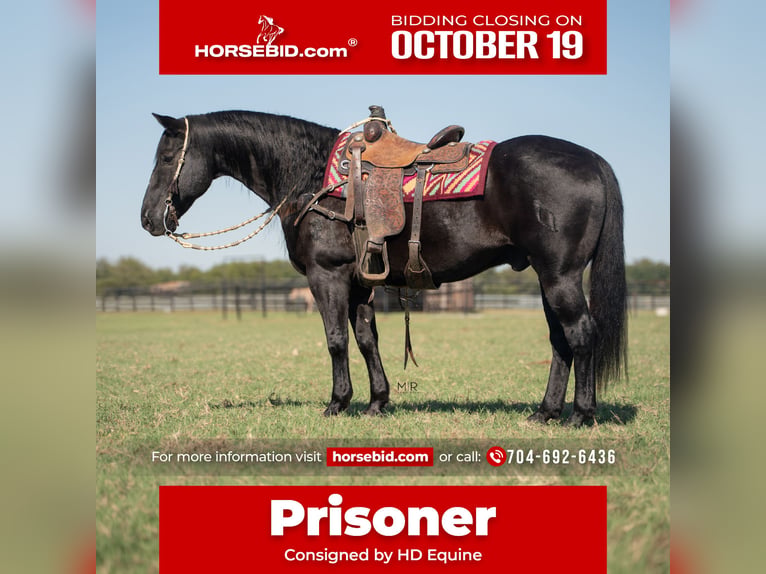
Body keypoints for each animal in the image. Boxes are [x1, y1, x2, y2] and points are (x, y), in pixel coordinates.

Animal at [140, 110, 627, 426]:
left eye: (165, 158)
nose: (148, 219)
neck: (313, 178)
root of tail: (593, 161)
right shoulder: (359, 283)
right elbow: (366, 340)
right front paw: (377, 402)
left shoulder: (327, 276)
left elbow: (336, 340)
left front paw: (337, 403)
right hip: (548, 277)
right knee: (560, 340)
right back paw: (545, 412)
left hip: (560, 276)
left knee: (580, 334)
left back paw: (581, 415)